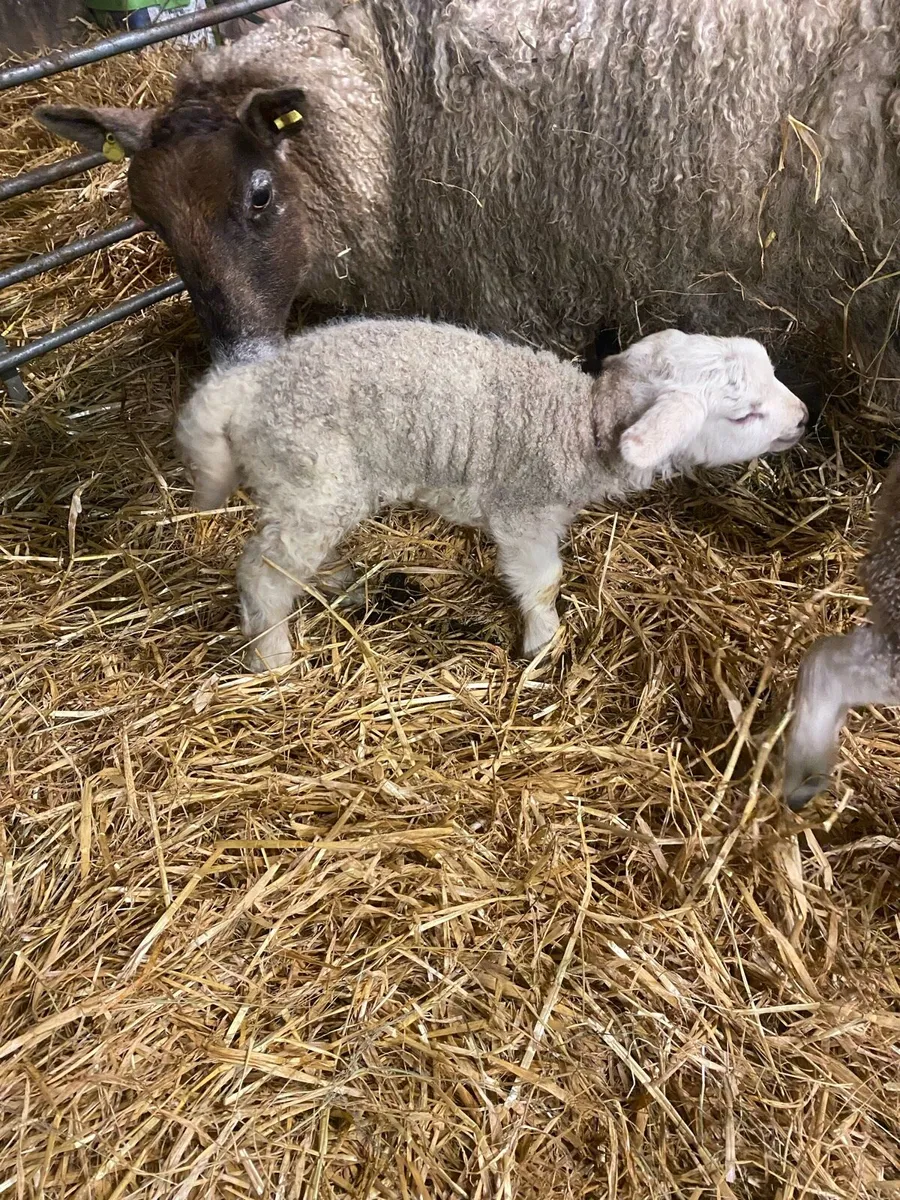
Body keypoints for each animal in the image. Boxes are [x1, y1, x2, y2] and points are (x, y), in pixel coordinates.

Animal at [175, 319, 809, 672]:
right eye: (744, 413)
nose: (804, 417)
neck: (578, 425)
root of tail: (248, 384)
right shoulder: (522, 514)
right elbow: (542, 580)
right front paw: (544, 643)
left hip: (311, 490)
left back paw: (335, 582)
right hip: (309, 476)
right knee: (264, 571)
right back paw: (271, 658)